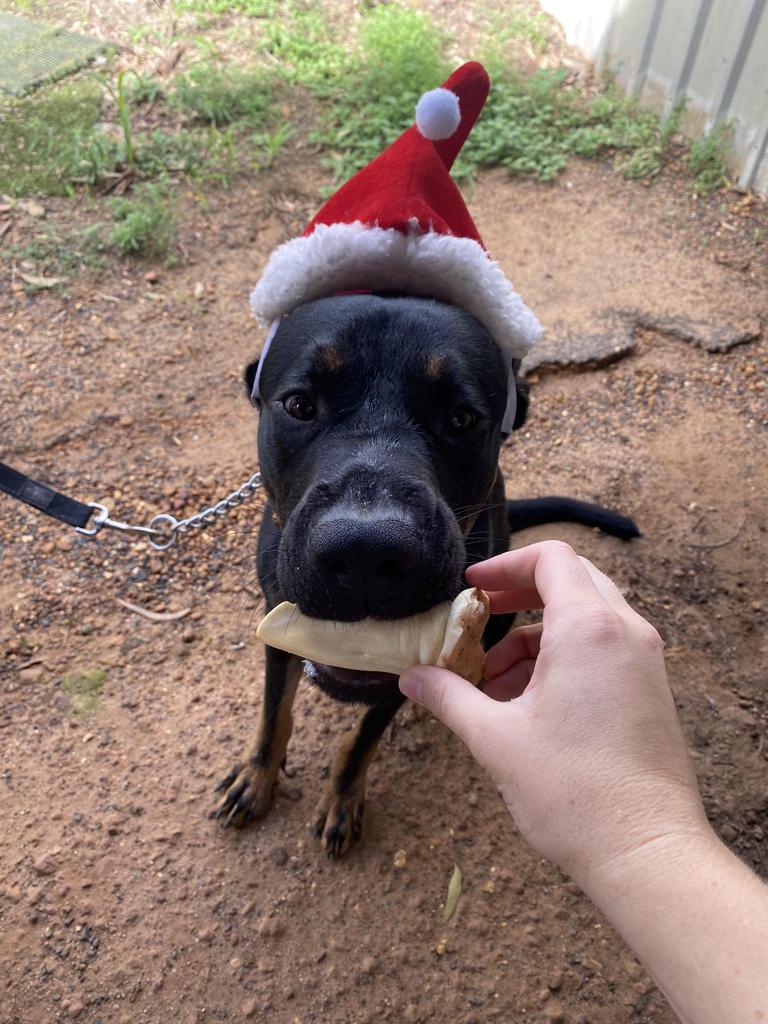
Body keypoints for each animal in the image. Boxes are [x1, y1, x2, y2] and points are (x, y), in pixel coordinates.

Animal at [214, 294, 638, 856]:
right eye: (300, 405)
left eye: (461, 418)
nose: (365, 554)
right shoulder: (275, 619)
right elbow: (272, 711)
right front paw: (257, 774)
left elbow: (362, 737)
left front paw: (342, 796)